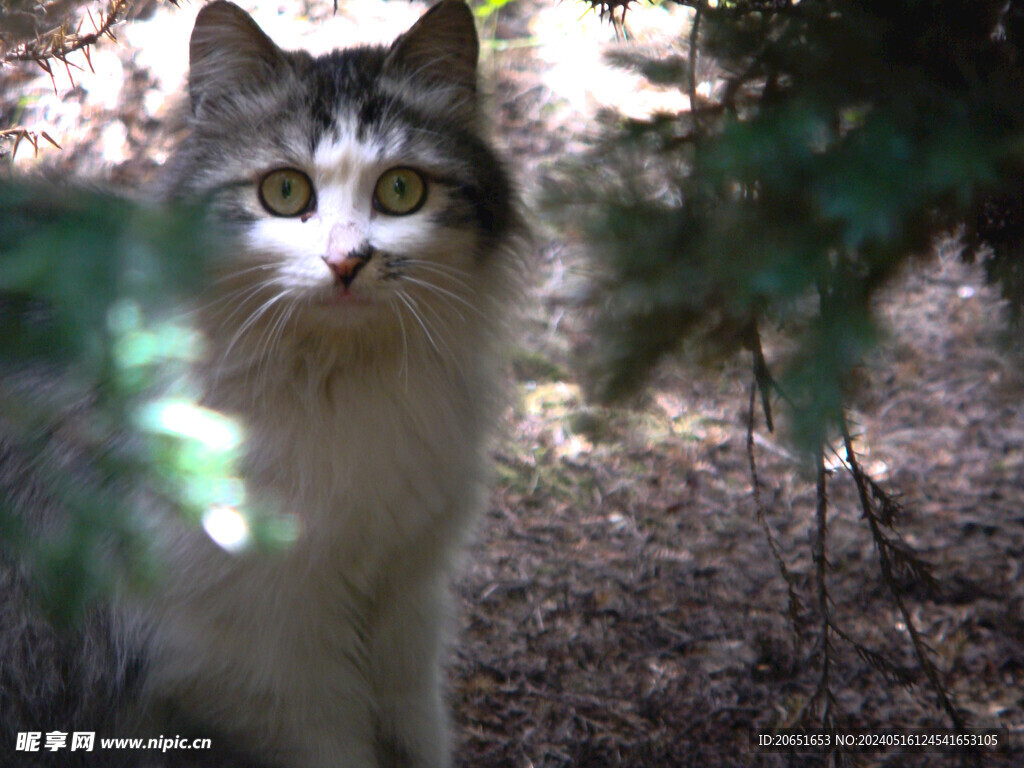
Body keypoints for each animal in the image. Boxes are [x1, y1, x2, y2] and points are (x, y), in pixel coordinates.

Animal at [0, 3, 516, 765]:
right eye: (284, 191)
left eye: (401, 190)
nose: (346, 262)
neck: (338, 386)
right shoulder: (259, 656)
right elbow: (339, 749)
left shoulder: (405, 600)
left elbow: (419, 738)